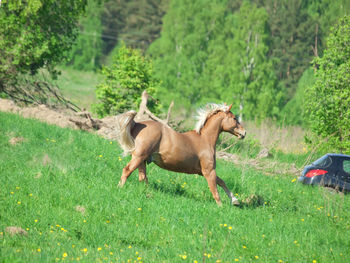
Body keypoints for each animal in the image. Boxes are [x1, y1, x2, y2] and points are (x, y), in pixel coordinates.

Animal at [115, 103, 246, 206]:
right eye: (234, 118)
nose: (244, 133)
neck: (205, 139)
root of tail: (137, 124)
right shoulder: (208, 171)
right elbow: (215, 190)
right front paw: (221, 207)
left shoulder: (203, 171)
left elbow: (221, 182)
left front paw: (235, 201)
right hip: (139, 157)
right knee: (127, 170)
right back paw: (119, 188)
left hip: (142, 161)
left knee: (142, 178)